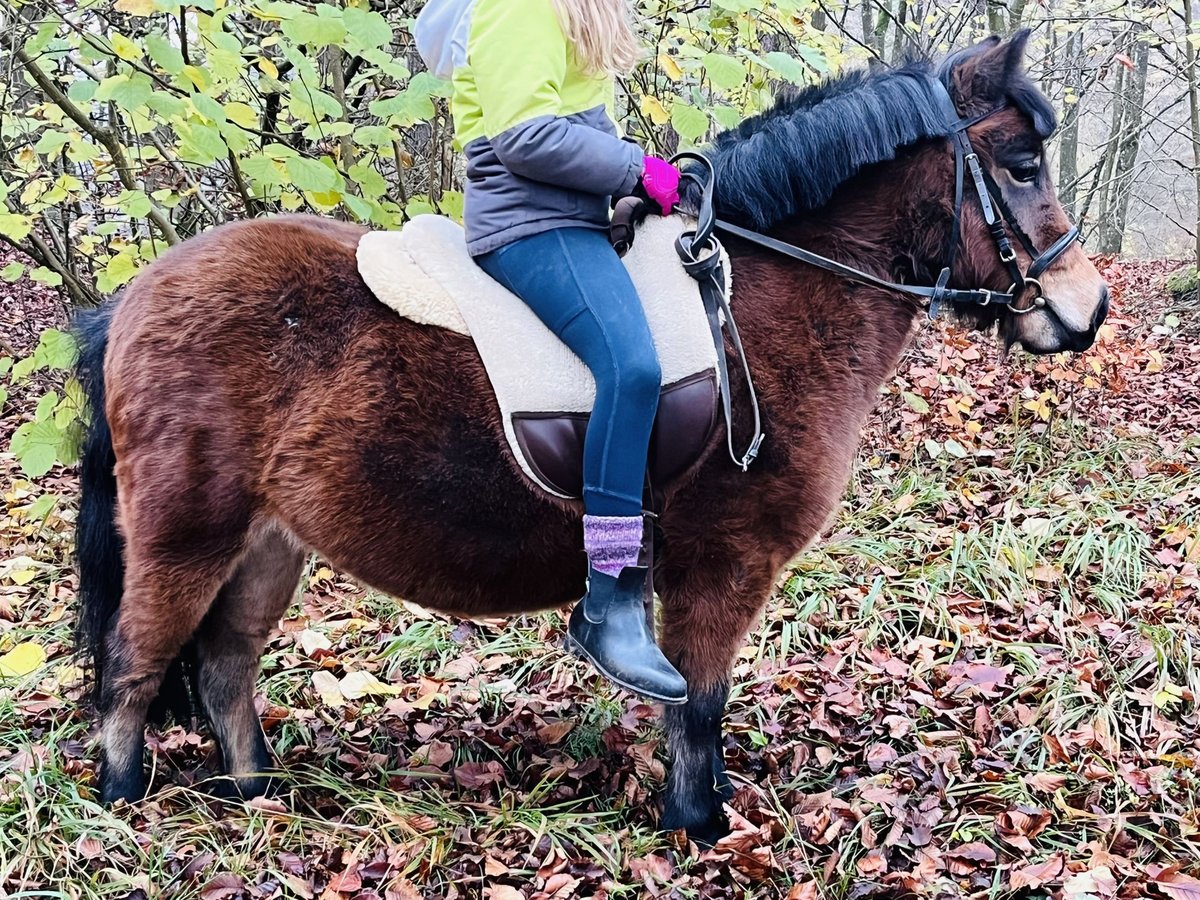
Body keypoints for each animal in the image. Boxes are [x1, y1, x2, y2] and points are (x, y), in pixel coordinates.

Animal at [72, 35, 1104, 849]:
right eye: (1021, 165)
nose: (1086, 309)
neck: (764, 301)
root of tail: (130, 300)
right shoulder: (727, 561)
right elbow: (699, 698)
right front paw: (701, 824)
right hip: (183, 535)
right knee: (133, 665)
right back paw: (121, 804)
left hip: (267, 541)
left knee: (224, 665)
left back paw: (258, 796)